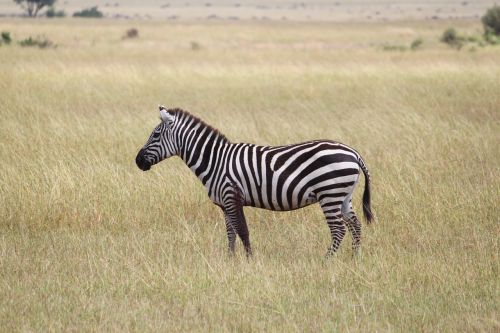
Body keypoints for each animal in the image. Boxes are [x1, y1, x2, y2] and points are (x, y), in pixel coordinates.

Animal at [135, 105, 374, 255]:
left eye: (155, 135)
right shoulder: (224, 204)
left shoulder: (232, 196)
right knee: (355, 225)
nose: (137, 161)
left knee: (339, 229)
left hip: (329, 193)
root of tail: (353, 153)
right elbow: (230, 233)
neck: (215, 160)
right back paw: (355, 257)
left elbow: (242, 231)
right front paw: (230, 259)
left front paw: (249, 261)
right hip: (343, 195)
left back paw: (327, 260)